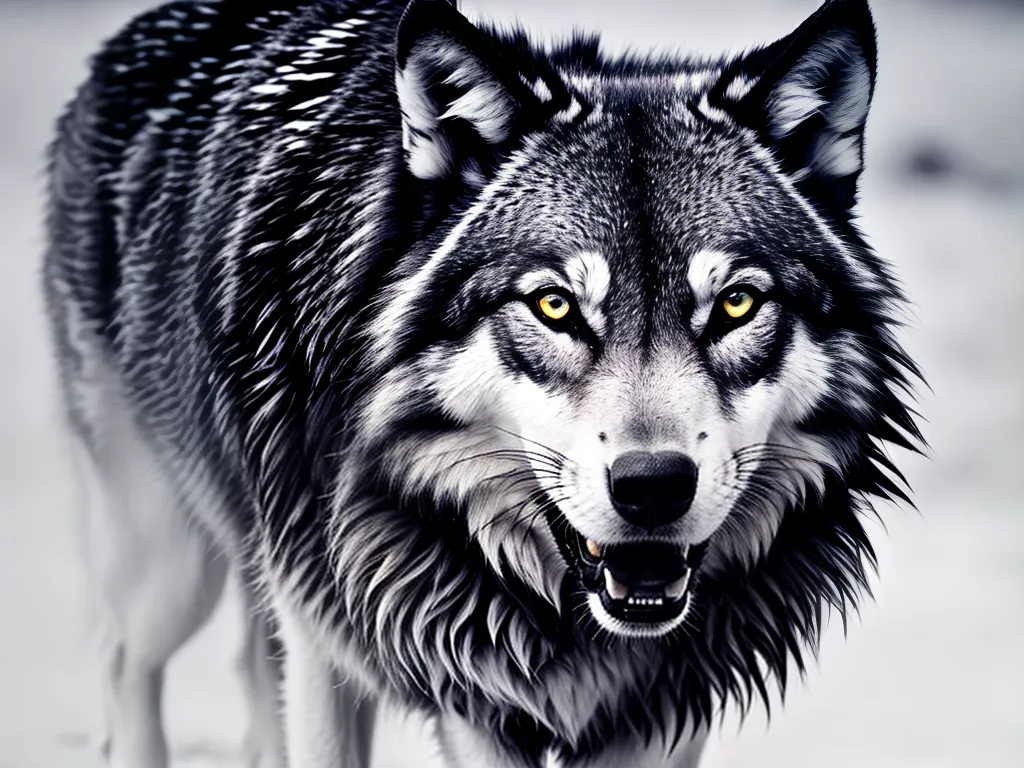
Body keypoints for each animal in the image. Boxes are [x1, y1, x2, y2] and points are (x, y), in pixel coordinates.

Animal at [43, 0, 922, 765]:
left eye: (737, 303)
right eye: (554, 305)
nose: (654, 486)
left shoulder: (665, 708)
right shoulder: (404, 665)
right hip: (174, 567)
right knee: (124, 658)